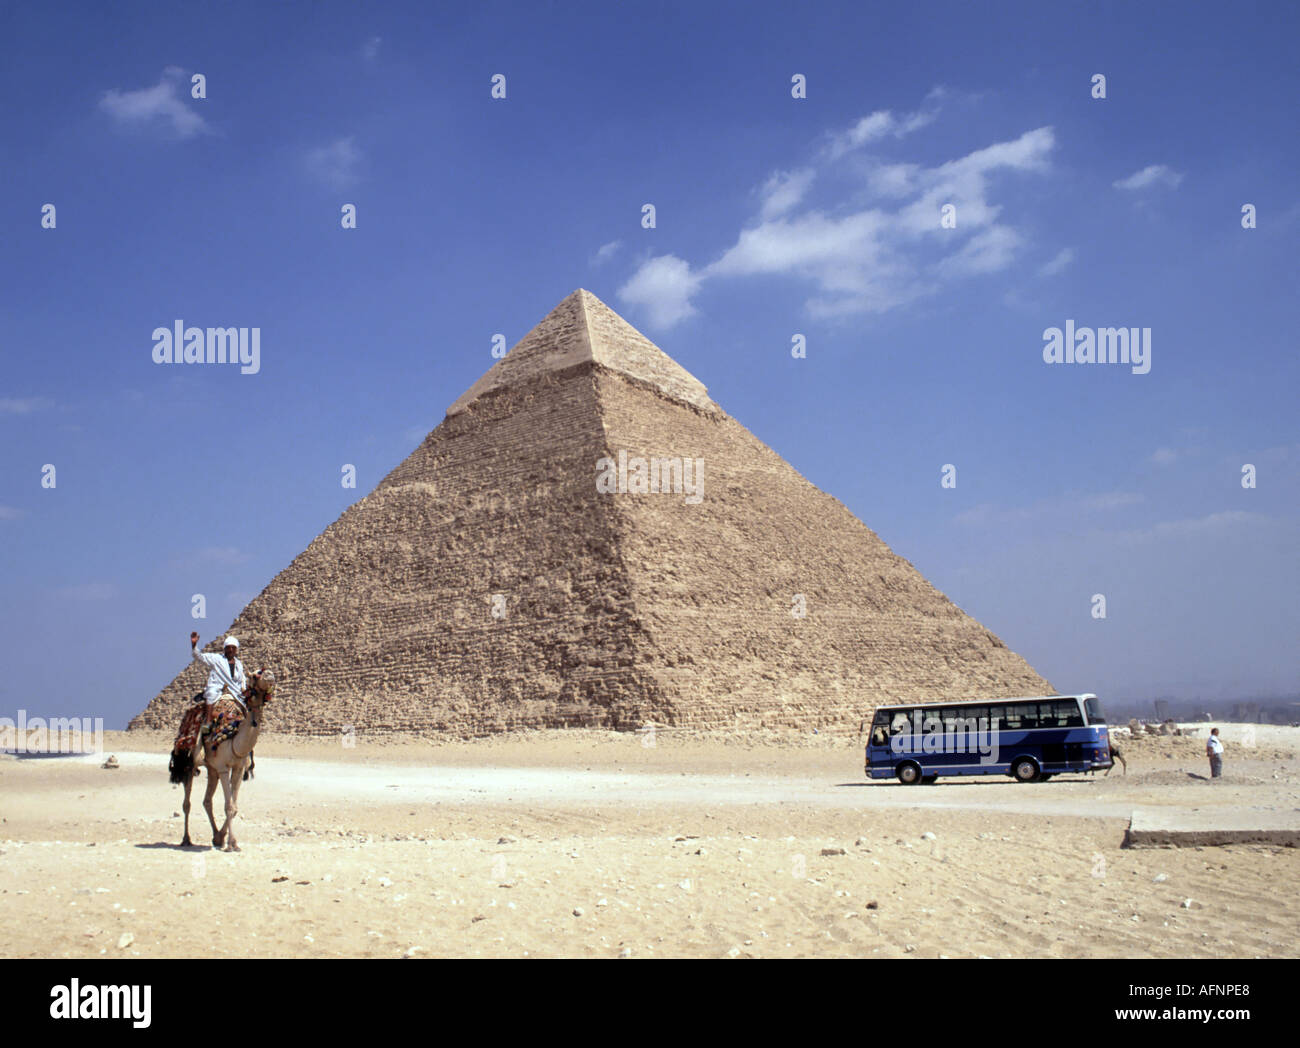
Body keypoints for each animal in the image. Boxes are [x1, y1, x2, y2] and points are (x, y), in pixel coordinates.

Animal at [179, 670, 275, 852]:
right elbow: (228, 806)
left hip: (211, 769)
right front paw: (232, 844)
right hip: (191, 763)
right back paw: (186, 839)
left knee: (207, 800)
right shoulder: (224, 768)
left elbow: (234, 806)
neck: (234, 739)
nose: (270, 676)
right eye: (255, 675)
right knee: (187, 802)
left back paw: (215, 835)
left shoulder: (238, 768)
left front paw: (221, 838)